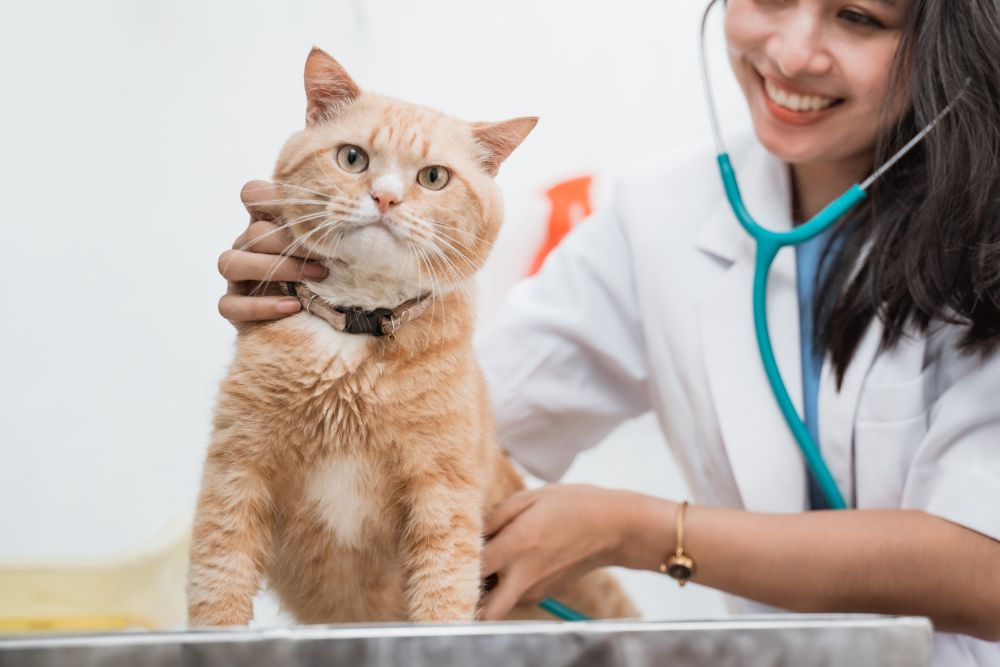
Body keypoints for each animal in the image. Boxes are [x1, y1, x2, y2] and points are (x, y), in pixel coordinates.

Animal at [188, 47, 636, 628]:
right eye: (352, 158)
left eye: (434, 177)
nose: (385, 197)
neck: (356, 328)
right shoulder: (237, 473)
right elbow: (217, 587)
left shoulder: (442, 495)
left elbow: (443, 596)